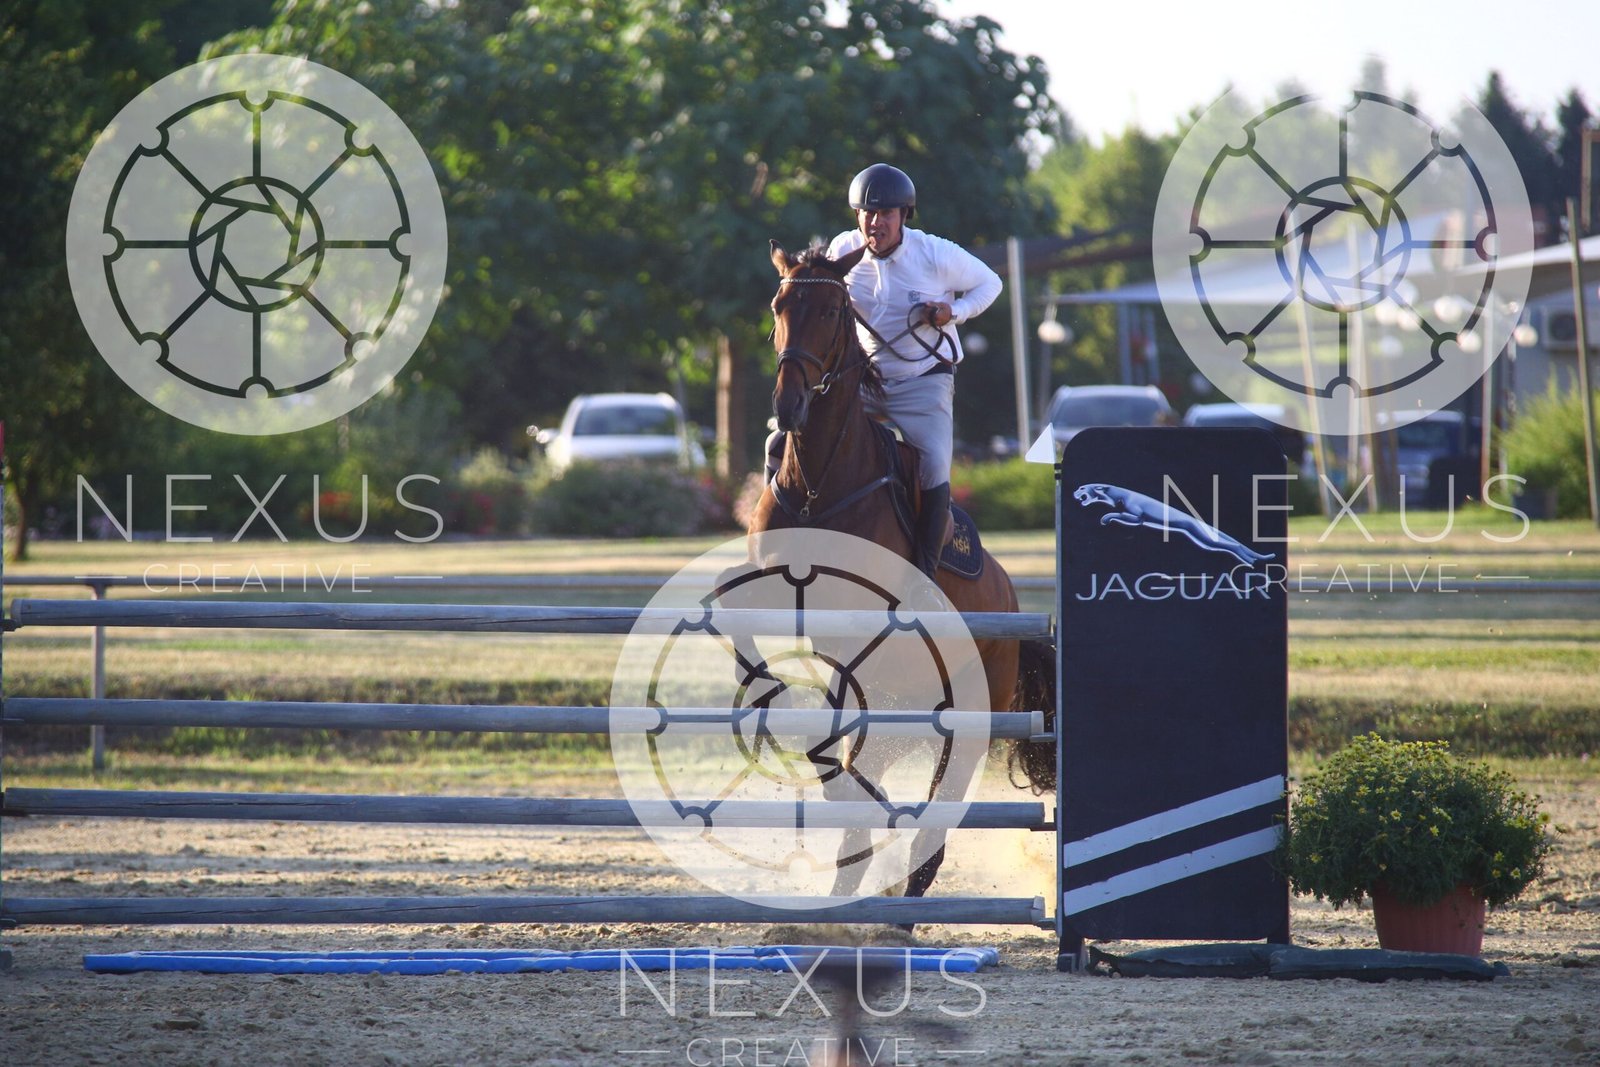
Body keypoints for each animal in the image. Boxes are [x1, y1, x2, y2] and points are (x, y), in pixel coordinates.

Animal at [742, 239, 1056, 904]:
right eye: (779, 306)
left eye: (833, 311)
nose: (788, 406)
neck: (819, 485)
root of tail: (1012, 605)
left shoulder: (855, 622)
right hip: (899, 723)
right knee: (862, 779)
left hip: (965, 727)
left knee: (931, 823)